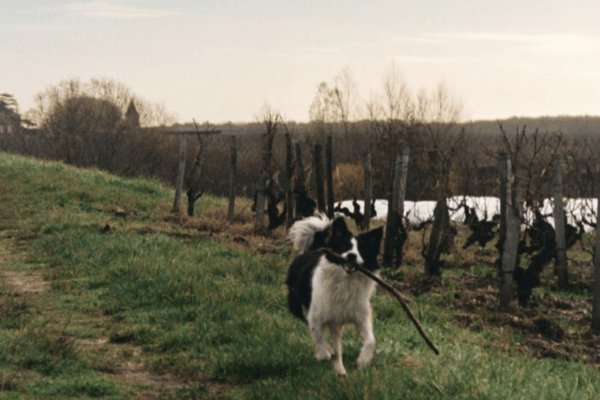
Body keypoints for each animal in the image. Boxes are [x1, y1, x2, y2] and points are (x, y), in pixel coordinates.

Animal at [288, 216, 384, 376]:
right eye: (345, 246)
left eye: (361, 250)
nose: (352, 255)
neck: (345, 281)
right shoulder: (315, 314)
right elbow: (318, 335)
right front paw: (323, 353)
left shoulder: (361, 315)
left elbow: (371, 340)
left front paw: (363, 360)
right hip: (300, 305)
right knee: (312, 328)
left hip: (336, 324)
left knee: (337, 345)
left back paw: (340, 370)